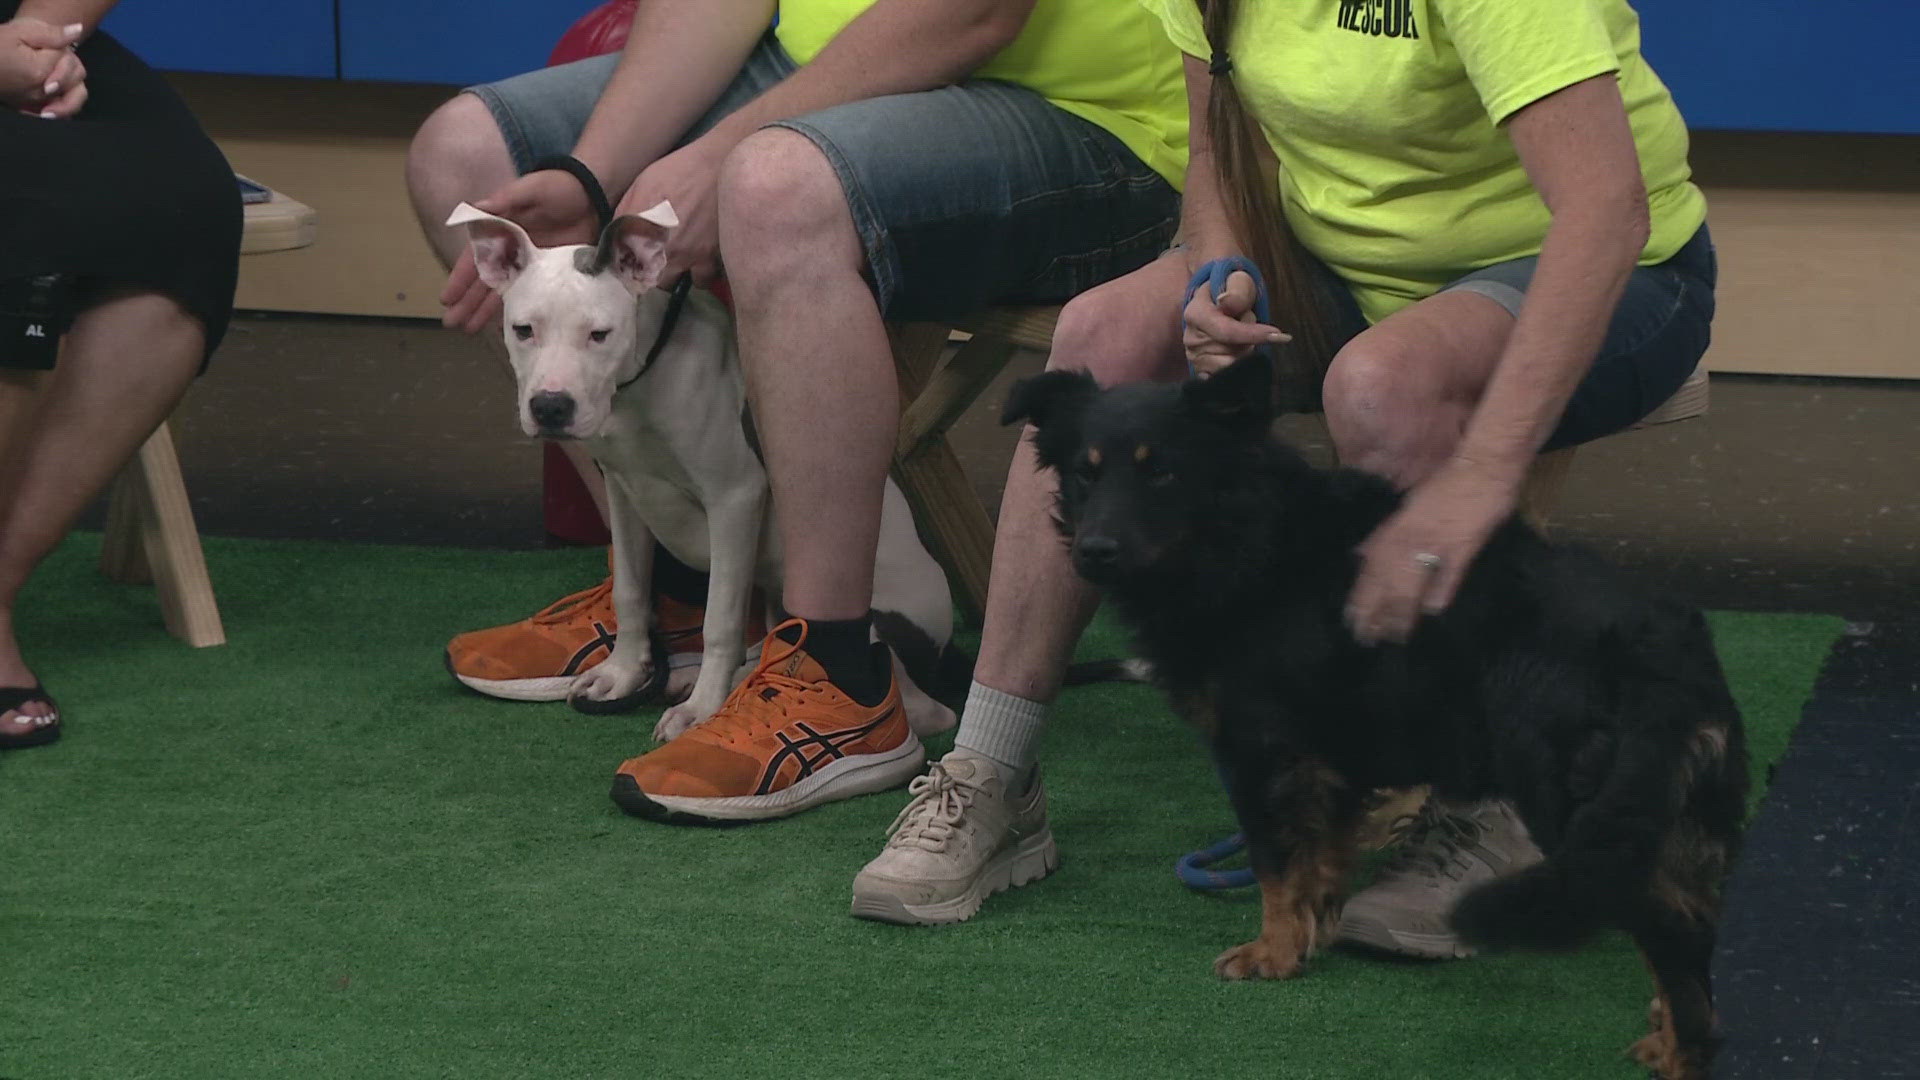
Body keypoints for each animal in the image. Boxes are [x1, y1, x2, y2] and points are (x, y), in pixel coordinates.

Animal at [449, 201, 960, 737]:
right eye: (523, 330)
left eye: (600, 334)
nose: (550, 407)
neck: (642, 379)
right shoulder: (625, 495)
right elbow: (631, 591)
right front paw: (623, 673)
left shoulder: (734, 498)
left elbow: (720, 620)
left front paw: (703, 708)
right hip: (778, 598)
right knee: (770, 646)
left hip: (878, 618)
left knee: (924, 707)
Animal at [1013, 355, 1751, 1076]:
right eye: (1085, 472)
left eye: (1161, 470)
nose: (1093, 551)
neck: (1248, 537)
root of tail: (1661, 651)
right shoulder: (1335, 759)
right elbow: (1321, 862)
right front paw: (1309, 937)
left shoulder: (1263, 752)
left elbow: (1274, 862)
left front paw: (1270, 952)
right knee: (1699, 925)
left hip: (1585, 819)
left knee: (1676, 942)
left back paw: (1683, 1051)